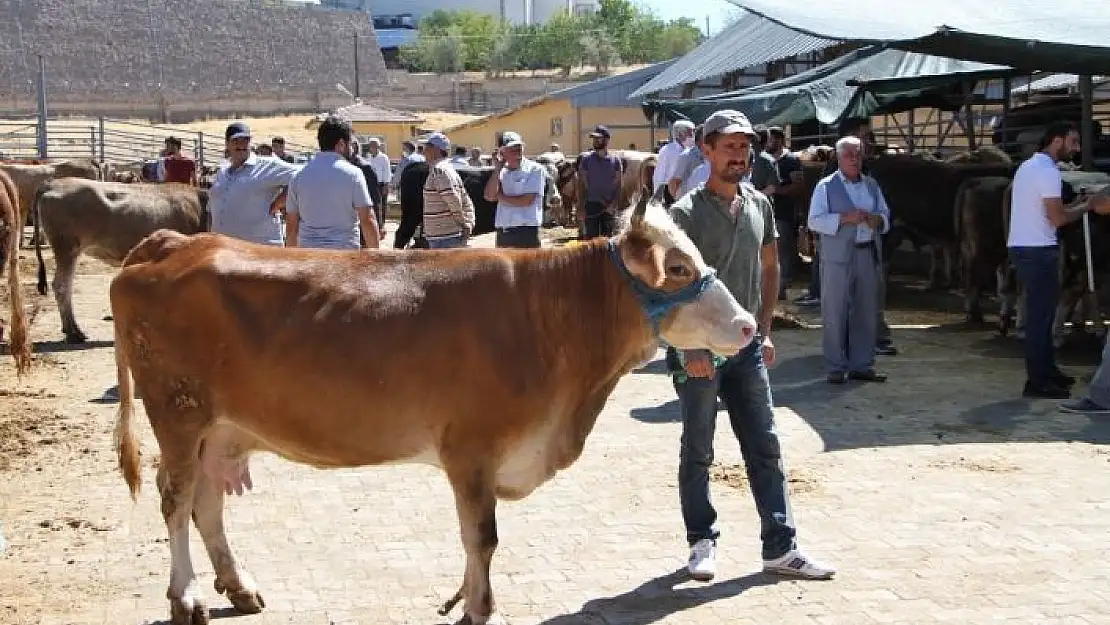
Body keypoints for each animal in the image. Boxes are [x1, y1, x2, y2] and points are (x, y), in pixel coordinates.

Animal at [110, 190, 754, 625]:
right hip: (178, 413)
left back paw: (237, 586)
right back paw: (186, 597)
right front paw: (479, 608)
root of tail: (176, 243)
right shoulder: (470, 447)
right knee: (176, 501)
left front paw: (468, 601)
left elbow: (475, 537)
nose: (749, 325)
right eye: (678, 268)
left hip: (218, 428)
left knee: (206, 503)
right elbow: (482, 537)